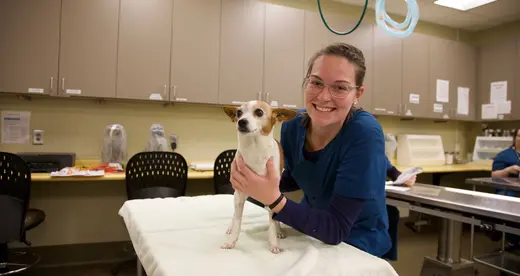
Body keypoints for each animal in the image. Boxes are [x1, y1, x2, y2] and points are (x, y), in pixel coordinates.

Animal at [219, 100, 296, 253]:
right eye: (238, 113)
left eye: (259, 112)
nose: (241, 121)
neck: (254, 149)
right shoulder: (239, 195)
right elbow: (238, 220)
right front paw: (231, 241)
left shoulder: (272, 196)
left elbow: (273, 220)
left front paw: (274, 242)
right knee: (235, 214)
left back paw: (279, 230)